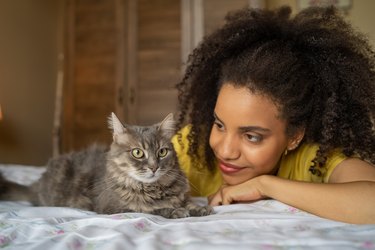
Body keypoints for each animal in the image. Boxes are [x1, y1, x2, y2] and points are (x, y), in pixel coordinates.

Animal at [0, 112, 213, 218]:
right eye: (137, 153)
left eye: (162, 152)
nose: (154, 167)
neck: (154, 188)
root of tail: (36, 185)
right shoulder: (114, 208)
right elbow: (151, 210)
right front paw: (176, 211)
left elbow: (188, 202)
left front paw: (199, 208)